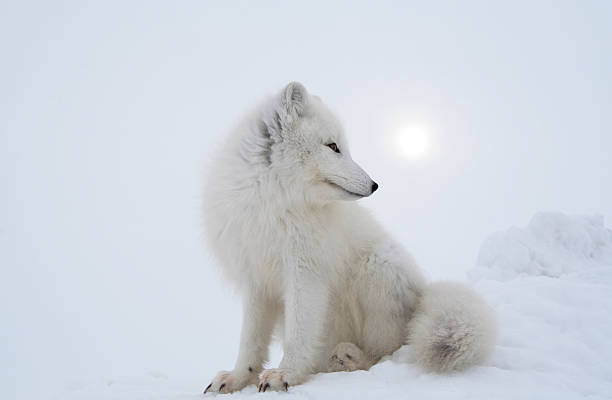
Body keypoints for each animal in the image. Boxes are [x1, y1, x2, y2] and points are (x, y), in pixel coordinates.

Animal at [202, 82, 498, 394]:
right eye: (333, 146)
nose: (374, 185)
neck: (273, 203)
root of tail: (423, 294)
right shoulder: (255, 280)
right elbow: (250, 341)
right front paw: (237, 378)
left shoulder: (305, 273)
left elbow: (299, 332)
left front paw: (286, 374)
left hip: (378, 266)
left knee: (387, 351)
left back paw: (349, 357)